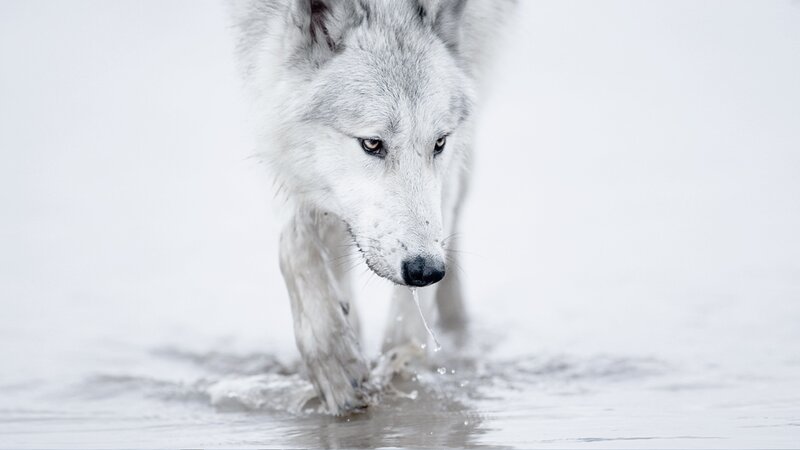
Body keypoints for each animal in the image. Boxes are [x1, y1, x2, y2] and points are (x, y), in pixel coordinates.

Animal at [228, 0, 515, 414]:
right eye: (372, 144)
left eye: (439, 143)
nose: (426, 270)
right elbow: (296, 243)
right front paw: (335, 359)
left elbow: (406, 322)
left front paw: (399, 368)